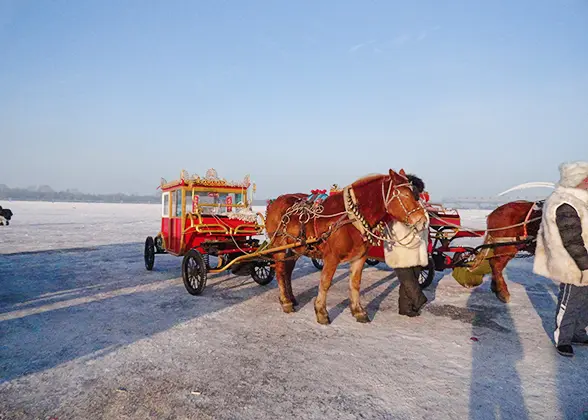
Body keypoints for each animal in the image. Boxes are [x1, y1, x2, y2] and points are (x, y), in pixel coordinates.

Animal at [266, 169, 428, 324]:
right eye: (404, 194)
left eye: (416, 195)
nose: (423, 221)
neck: (350, 219)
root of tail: (275, 202)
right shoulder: (331, 257)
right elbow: (325, 282)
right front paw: (321, 312)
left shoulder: (360, 257)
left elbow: (355, 283)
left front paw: (358, 311)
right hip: (279, 247)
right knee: (280, 271)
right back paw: (286, 302)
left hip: (295, 249)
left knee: (287, 271)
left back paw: (291, 298)